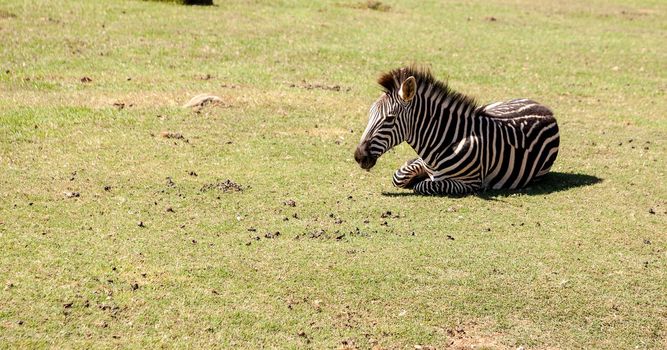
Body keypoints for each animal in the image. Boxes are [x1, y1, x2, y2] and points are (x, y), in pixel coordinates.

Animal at [354, 67, 560, 196]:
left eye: (389, 118)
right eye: (370, 114)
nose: (358, 156)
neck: (445, 140)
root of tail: (544, 107)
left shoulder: (469, 183)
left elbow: (423, 186)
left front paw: (419, 180)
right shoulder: (422, 161)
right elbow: (399, 176)